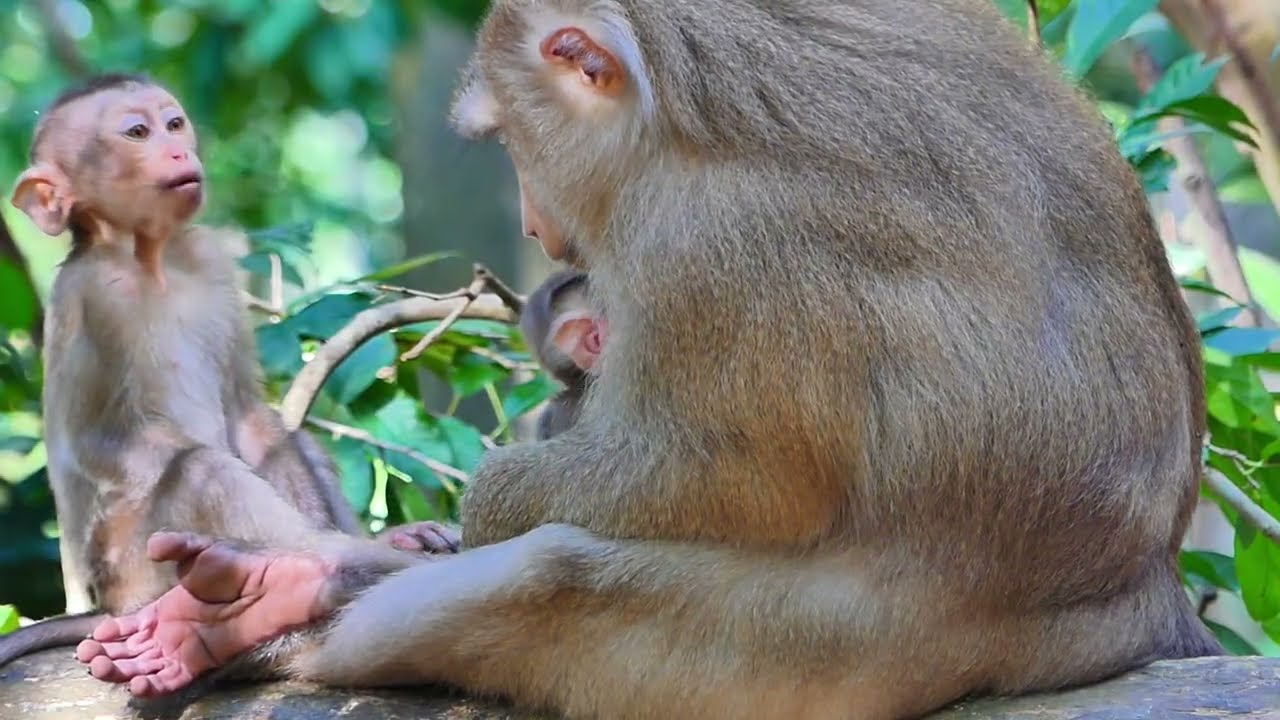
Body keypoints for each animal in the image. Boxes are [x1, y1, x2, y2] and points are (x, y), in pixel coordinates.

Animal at [0, 74, 450, 670]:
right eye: (137, 133)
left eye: (174, 124)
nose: (179, 151)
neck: (151, 260)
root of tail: (109, 606)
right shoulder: (93, 299)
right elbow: (108, 445)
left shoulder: (211, 263)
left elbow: (248, 417)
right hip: (139, 572)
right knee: (199, 468)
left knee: (282, 442)